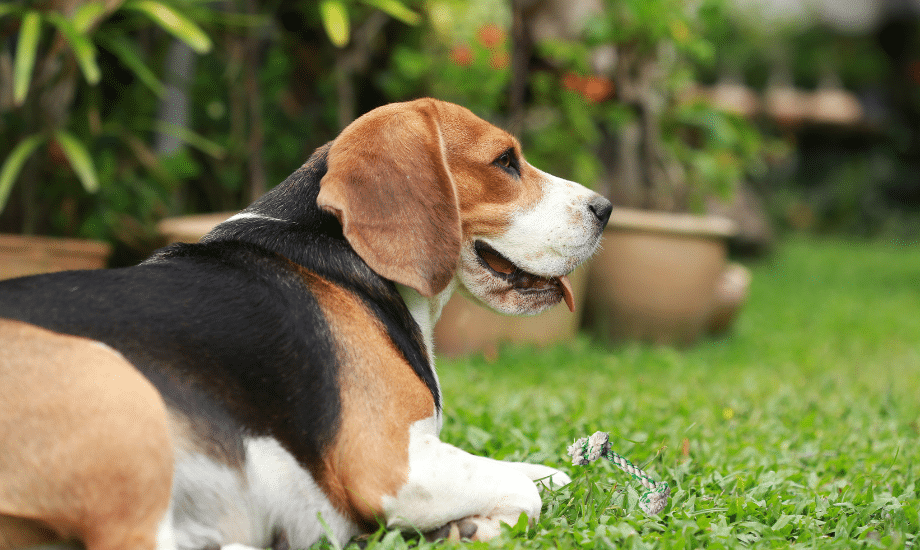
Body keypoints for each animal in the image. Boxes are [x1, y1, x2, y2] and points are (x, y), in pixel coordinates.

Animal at [0, 99, 612, 550]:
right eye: (505, 161)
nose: (606, 209)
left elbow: (538, 474)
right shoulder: (392, 466)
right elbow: (525, 492)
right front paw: (475, 524)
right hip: (115, 386)